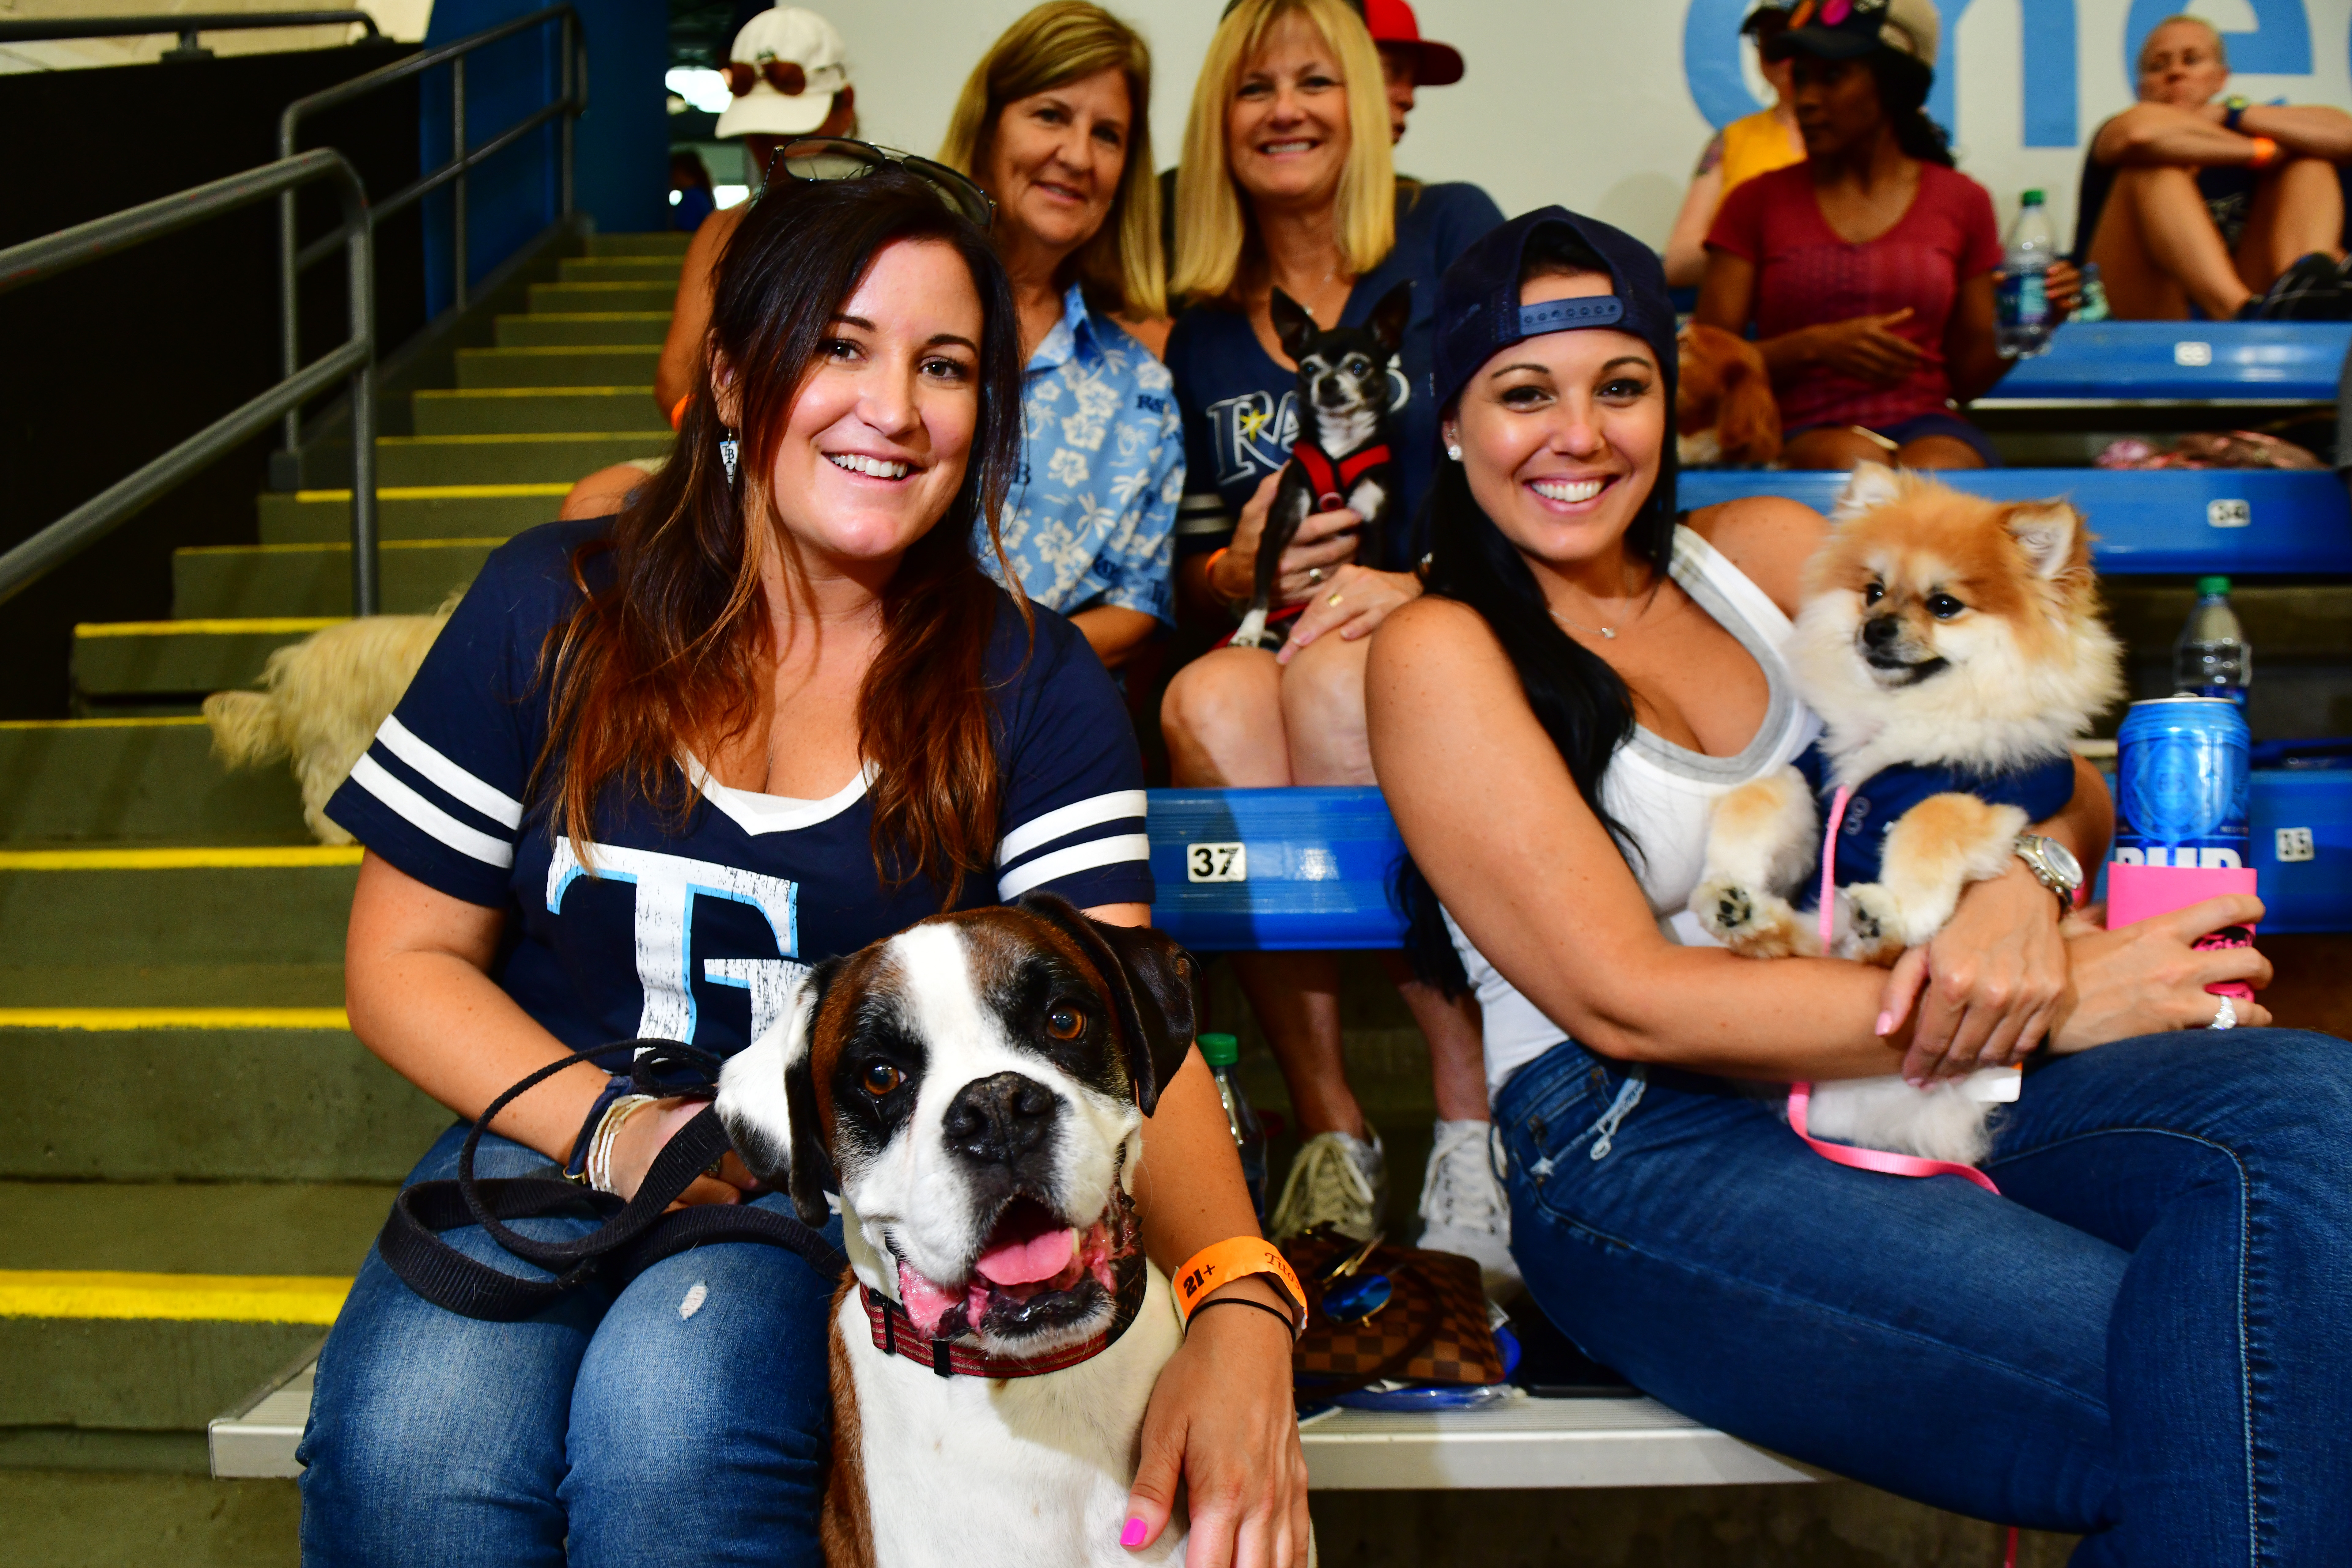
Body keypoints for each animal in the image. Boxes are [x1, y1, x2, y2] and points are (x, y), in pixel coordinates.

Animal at [1232, 278, 1411, 649]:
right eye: (1309, 369)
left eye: (1359, 368)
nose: (1327, 383)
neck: (1339, 445)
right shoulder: (1278, 524)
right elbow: (1260, 590)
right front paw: (1248, 631)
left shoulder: (1373, 525)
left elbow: (1370, 570)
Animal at [1693, 465, 2135, 1166]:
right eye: (1872, 591)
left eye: (1944, 604)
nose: (1875, 627)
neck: (1898, 726)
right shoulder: (1820, 788)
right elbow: (1758, 794)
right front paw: (1724, 876)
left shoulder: (2000, 797)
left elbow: (1931, 815)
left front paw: (1910, 905)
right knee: (1815, 946)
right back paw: (1747, 915)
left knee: (1873, 955)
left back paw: (1879, 918)